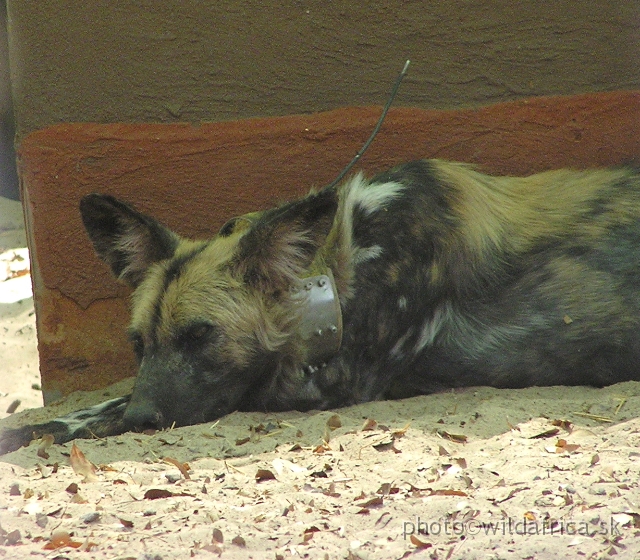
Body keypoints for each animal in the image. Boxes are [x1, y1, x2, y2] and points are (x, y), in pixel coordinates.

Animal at [1, 159, 640, 456]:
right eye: (139, 344)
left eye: (201, 337)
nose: (143, 419)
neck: (332, 273)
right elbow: (98, 404)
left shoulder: (331, 381)